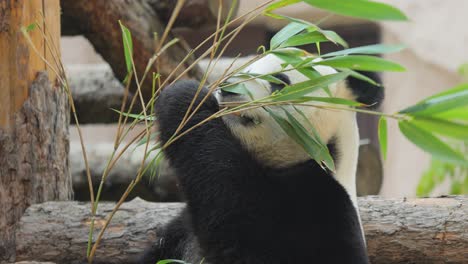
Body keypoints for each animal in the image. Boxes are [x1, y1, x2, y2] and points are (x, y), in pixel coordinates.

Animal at [140, 53, 384, 264]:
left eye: (279, 82)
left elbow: (240, 221)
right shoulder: (180, 229)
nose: (228, 89)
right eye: (247, 68)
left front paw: (185, 98)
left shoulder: (322, 205)